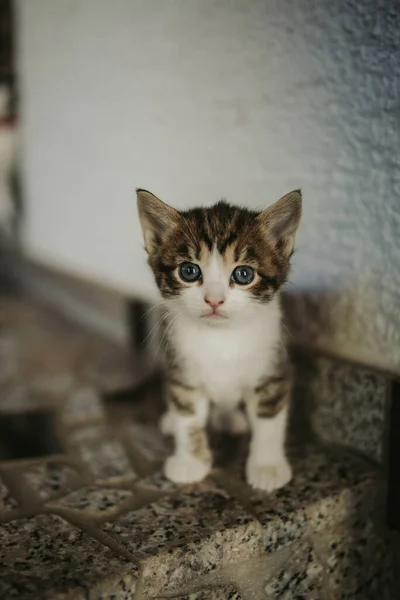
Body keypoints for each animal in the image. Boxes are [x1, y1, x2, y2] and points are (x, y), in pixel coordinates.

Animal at [136, 189, 302, 492]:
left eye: (244, 274)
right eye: (189, 271)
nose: (214, 299)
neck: (221, 337)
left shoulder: (274, 365)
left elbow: (269, 420)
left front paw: (267, 467)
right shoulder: (181, 368)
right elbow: (188, 416)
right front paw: (190, 461)